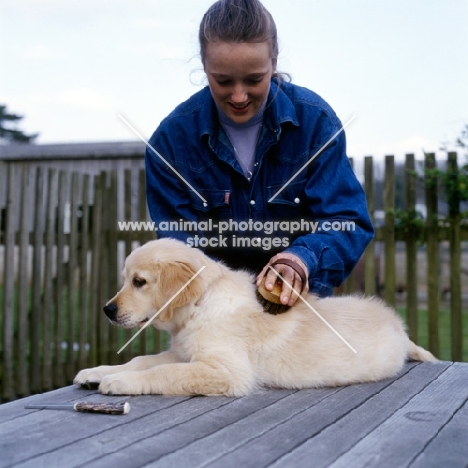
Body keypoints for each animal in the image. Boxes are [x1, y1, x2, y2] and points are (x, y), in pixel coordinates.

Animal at [73, 238, 436, 394]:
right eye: (126, 279)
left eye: (139, 282)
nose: (107, 310)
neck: (202, 304)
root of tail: (398, 327)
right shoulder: (183, 352)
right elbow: (143, 361)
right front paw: (96, 372)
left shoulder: (227, 371)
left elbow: (165, 373)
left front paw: (120, 381)